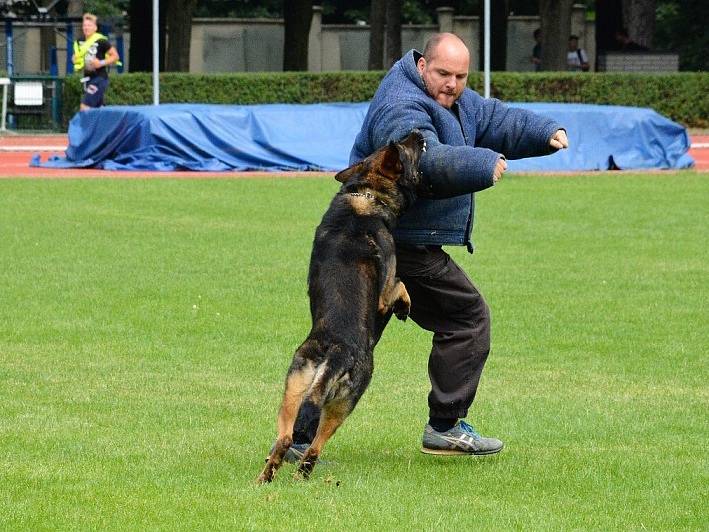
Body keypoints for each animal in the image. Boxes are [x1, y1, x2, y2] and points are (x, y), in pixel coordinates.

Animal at [260, 130, 426, 482]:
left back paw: (265, 478)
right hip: (345, 402)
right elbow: (400, 284)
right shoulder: (386, 283)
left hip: (293, 388)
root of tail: (334, 352)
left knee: (285, 438)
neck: (365, 193)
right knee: (313, 447)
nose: (417, 132)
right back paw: (302, 476)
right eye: (405, 148)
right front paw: (404, 305)